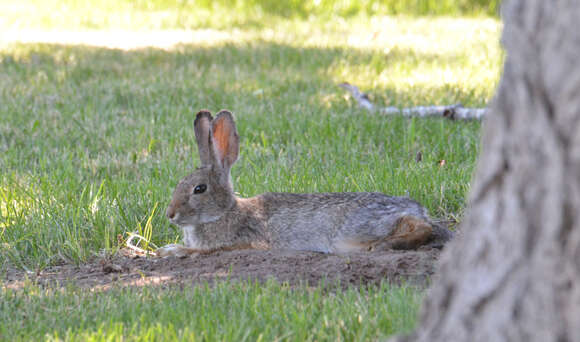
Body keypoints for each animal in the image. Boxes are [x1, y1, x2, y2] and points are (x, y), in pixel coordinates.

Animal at [159, 109, 454, 256]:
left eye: (199, 189)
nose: (170, 214)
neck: (224, 212)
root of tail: (417, 207)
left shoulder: (245, 241)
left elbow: (206, 250)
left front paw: (172, 250)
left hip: (354, 229)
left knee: (420, 227)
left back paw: (383, 245)